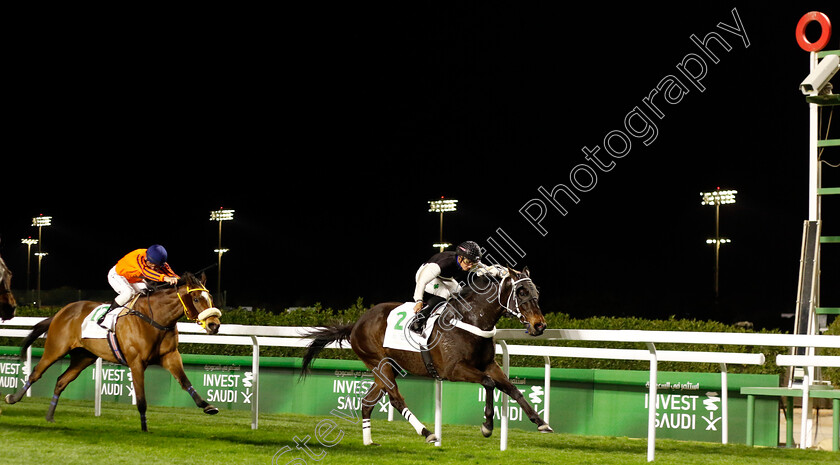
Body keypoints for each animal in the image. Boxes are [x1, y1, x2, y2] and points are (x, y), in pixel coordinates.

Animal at [2, 270, 223, 430]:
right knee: (35, 374)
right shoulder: (136, 362)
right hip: (55, 348)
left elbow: (185, 382)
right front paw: (144, 428)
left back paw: (49, 416)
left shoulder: (170, 356)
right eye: (196, 299)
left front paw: (208, 406)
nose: (214, 325)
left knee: (61, 381)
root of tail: (61, 312)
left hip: (84, 356)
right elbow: (141, 399)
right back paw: (13, 398)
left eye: (210, 297)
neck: (156, 319)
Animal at [300, 266, 552, 444]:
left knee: (367, 402)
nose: (539, 325)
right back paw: (427, 432)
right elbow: (489, 383)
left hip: (385, 368)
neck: (470, 320)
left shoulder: (488, 364)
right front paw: (487, 425)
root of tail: (356, 324)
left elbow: (512, 388)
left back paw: (369, 441)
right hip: (381, 363)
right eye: (521, 291)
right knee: (396, 399)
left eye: (536, 291)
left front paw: (540, 422)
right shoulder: (453, 370)